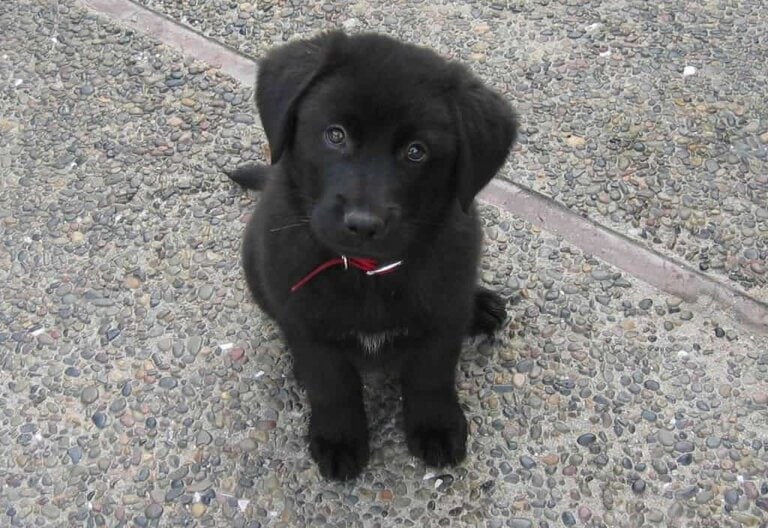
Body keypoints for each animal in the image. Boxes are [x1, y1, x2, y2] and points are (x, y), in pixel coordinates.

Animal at [226, 31, 516, 480]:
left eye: (416, 151)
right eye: (335, 135)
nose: (363, 224)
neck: (368, 273)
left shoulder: (442, 318)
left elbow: (431, 376)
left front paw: (436, 427)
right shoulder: (309, 324)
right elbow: (332, 386)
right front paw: (339, 438)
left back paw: (481, 305)